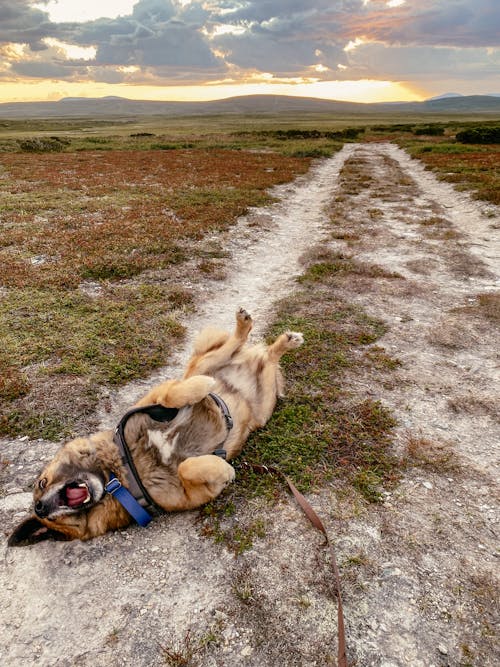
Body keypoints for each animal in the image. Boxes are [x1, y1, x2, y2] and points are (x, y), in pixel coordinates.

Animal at [8, 310, 304, 544]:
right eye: (43, 514)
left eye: (42, 483)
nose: (41, 508)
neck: (123, 472)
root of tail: (254, 362)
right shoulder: (195, 493)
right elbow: (188, 467)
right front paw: (224, 469)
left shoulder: (155, 397)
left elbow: (172, 394)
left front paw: (202, 387)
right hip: (263, 408)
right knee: (269, 356)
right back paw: (281, 343)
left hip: (210, 363)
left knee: (235, 346)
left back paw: (251, 331)